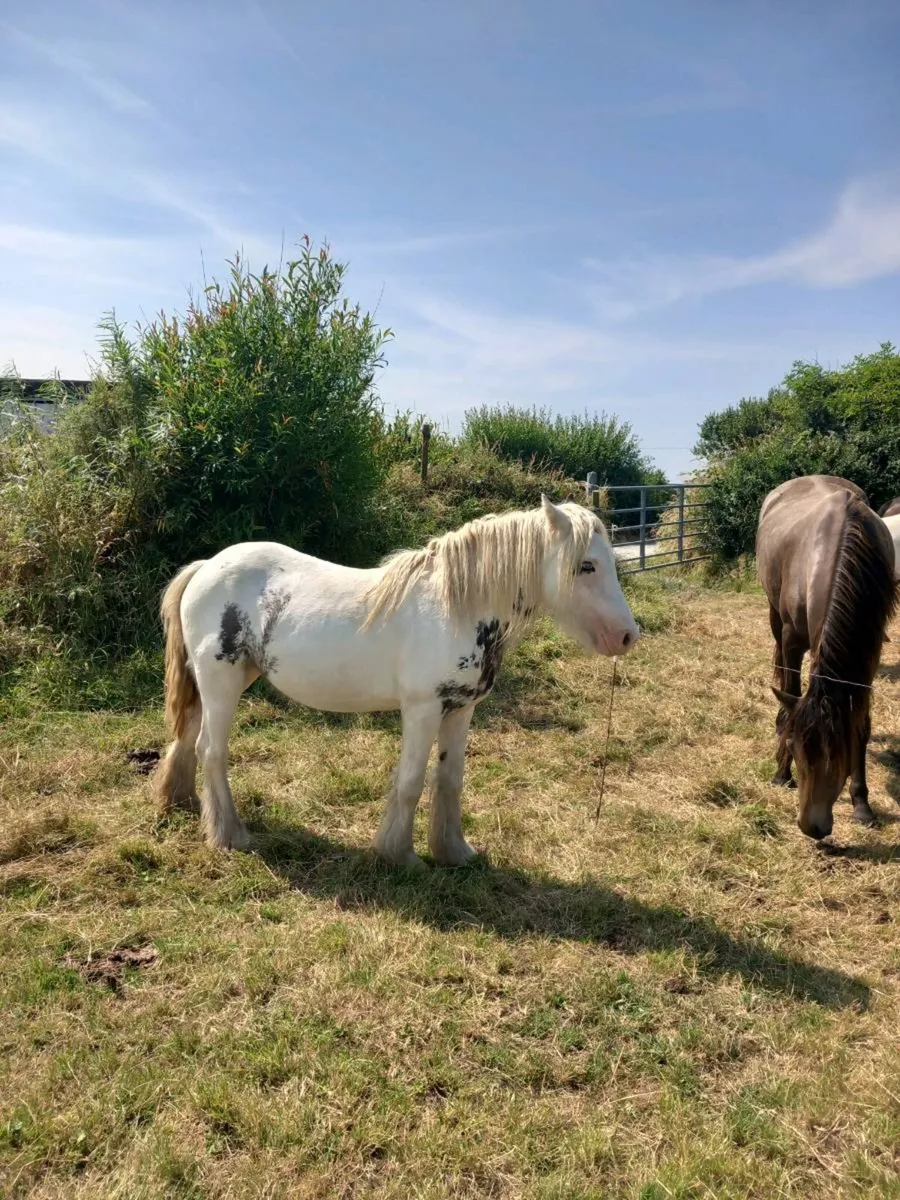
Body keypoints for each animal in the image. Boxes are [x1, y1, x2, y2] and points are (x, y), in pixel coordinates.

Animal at [155, 496, 640, 868]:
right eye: (587, 566)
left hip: (217, 683)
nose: (626, 636)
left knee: (188, 738)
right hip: (222, 683)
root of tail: (205, 567)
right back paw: (229, 834)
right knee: (211, 751)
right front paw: (399, 856)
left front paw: (454, 852)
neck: (456, 608)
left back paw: (183, 804)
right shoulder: (422, 710)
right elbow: (410, 781)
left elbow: (450, 780)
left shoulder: (462, 710)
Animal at [756, 475, 898, 840]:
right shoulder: (792, 641)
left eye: (840, 760)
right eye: (795, 750)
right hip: (774, 616)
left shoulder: (867, 656)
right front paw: (782, 772)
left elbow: (861, 724)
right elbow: (791, 691)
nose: (812, 827)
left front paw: (862, 804)